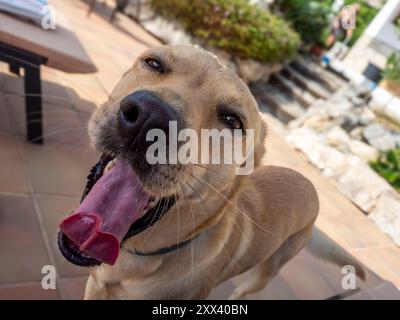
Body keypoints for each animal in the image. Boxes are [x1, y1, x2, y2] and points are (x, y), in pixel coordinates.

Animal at [57, 43, 366, 298]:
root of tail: (309, 184)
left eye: (232, 120)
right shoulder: (96, 286)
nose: (149, 116)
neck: (141, 253)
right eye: (154, 64)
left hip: (264, 274)